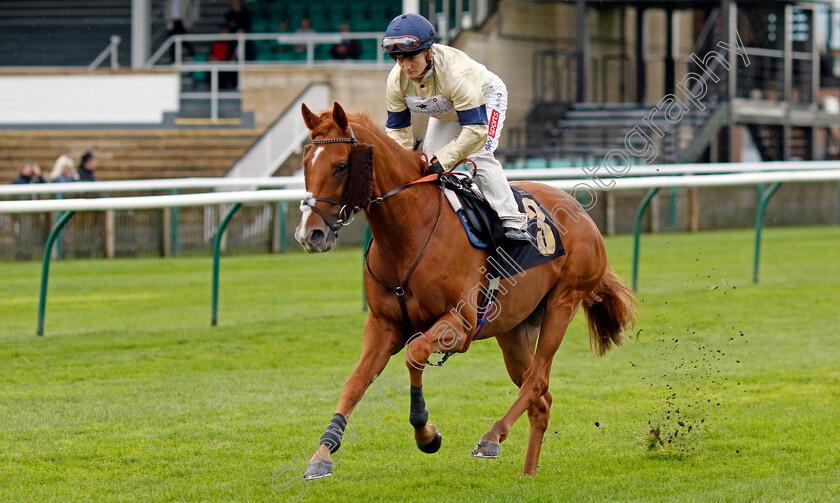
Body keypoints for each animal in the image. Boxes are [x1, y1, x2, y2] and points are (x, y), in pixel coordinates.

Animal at [296, 102, 636, 480]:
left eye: (341, 165)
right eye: (306, 162)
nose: (309, 234)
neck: (409, 232)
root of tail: (580, 212)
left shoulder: (460, 325)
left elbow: (415, 352)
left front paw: (426, 433)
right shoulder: (383, 324)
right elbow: (355, 382)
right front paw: (322, 454)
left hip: (564, 302)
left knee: (536, 381)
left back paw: (491, 437)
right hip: (514, 330)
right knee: (541, 398)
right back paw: (528, 474)